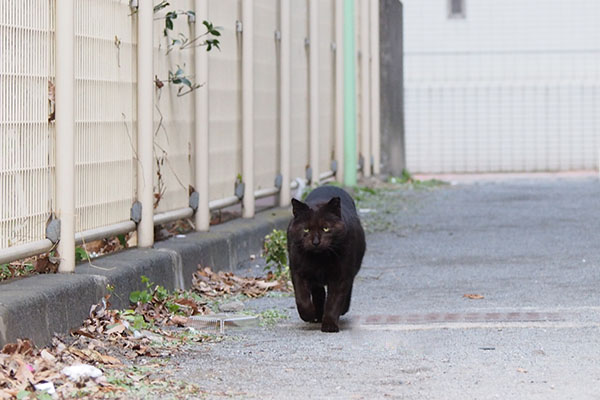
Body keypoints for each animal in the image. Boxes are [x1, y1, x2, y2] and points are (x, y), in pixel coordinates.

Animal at [288, 186, 366, 332]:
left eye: (325, 228)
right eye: (306, 229)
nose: (316, 242)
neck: (320, 259)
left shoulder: (340, 276)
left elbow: (334, 301)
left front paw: (330, 325)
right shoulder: (298, 272)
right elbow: (302, 299)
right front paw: (308, 315)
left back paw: (342, 310)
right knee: (318, 293)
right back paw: (317, 315)